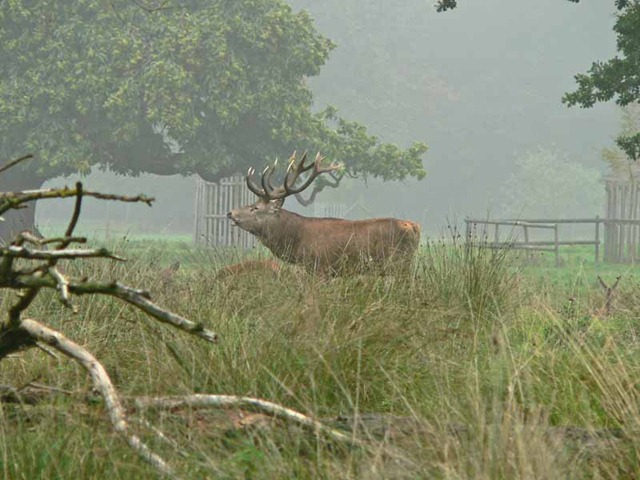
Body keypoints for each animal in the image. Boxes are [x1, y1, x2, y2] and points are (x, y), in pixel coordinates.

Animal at [226, 152, 421, 276]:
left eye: (255, 208)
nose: (230, 212)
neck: (297, 240)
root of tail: (414, 227)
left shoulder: (320, 267)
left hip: (399, 262)